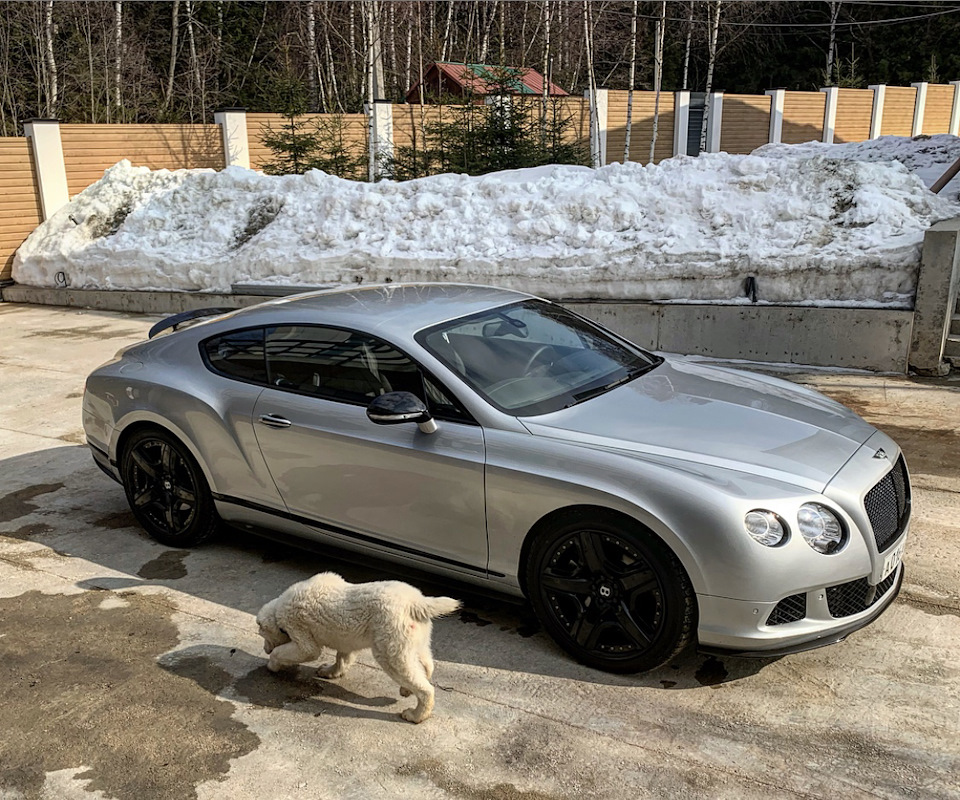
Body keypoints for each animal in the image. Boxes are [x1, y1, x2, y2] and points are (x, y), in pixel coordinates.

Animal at [258, 572, 462, 720]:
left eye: (263, 635)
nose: (265, 649)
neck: (278, 613)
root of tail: (417, 602)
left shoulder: (298, 627)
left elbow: (306, 651)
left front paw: (272, 663)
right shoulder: (344, 639)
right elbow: (343, 656)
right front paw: (330, 671)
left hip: (390, 642)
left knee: (419, 682)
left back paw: (415, 715)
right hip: (415, 637)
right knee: (426, 663)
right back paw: (407, 689)